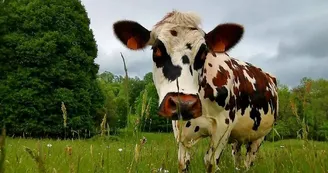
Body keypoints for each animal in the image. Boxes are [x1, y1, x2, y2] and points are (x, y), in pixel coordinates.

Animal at [113, 10, 280, 172]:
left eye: (203, 52)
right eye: (157, 50)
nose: (183, 104)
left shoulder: (224, 126)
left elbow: (210, 162)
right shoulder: (179, 129)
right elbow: (183, 163)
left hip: (260, 136)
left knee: (249, 160)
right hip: (239, 137)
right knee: (237, 156)